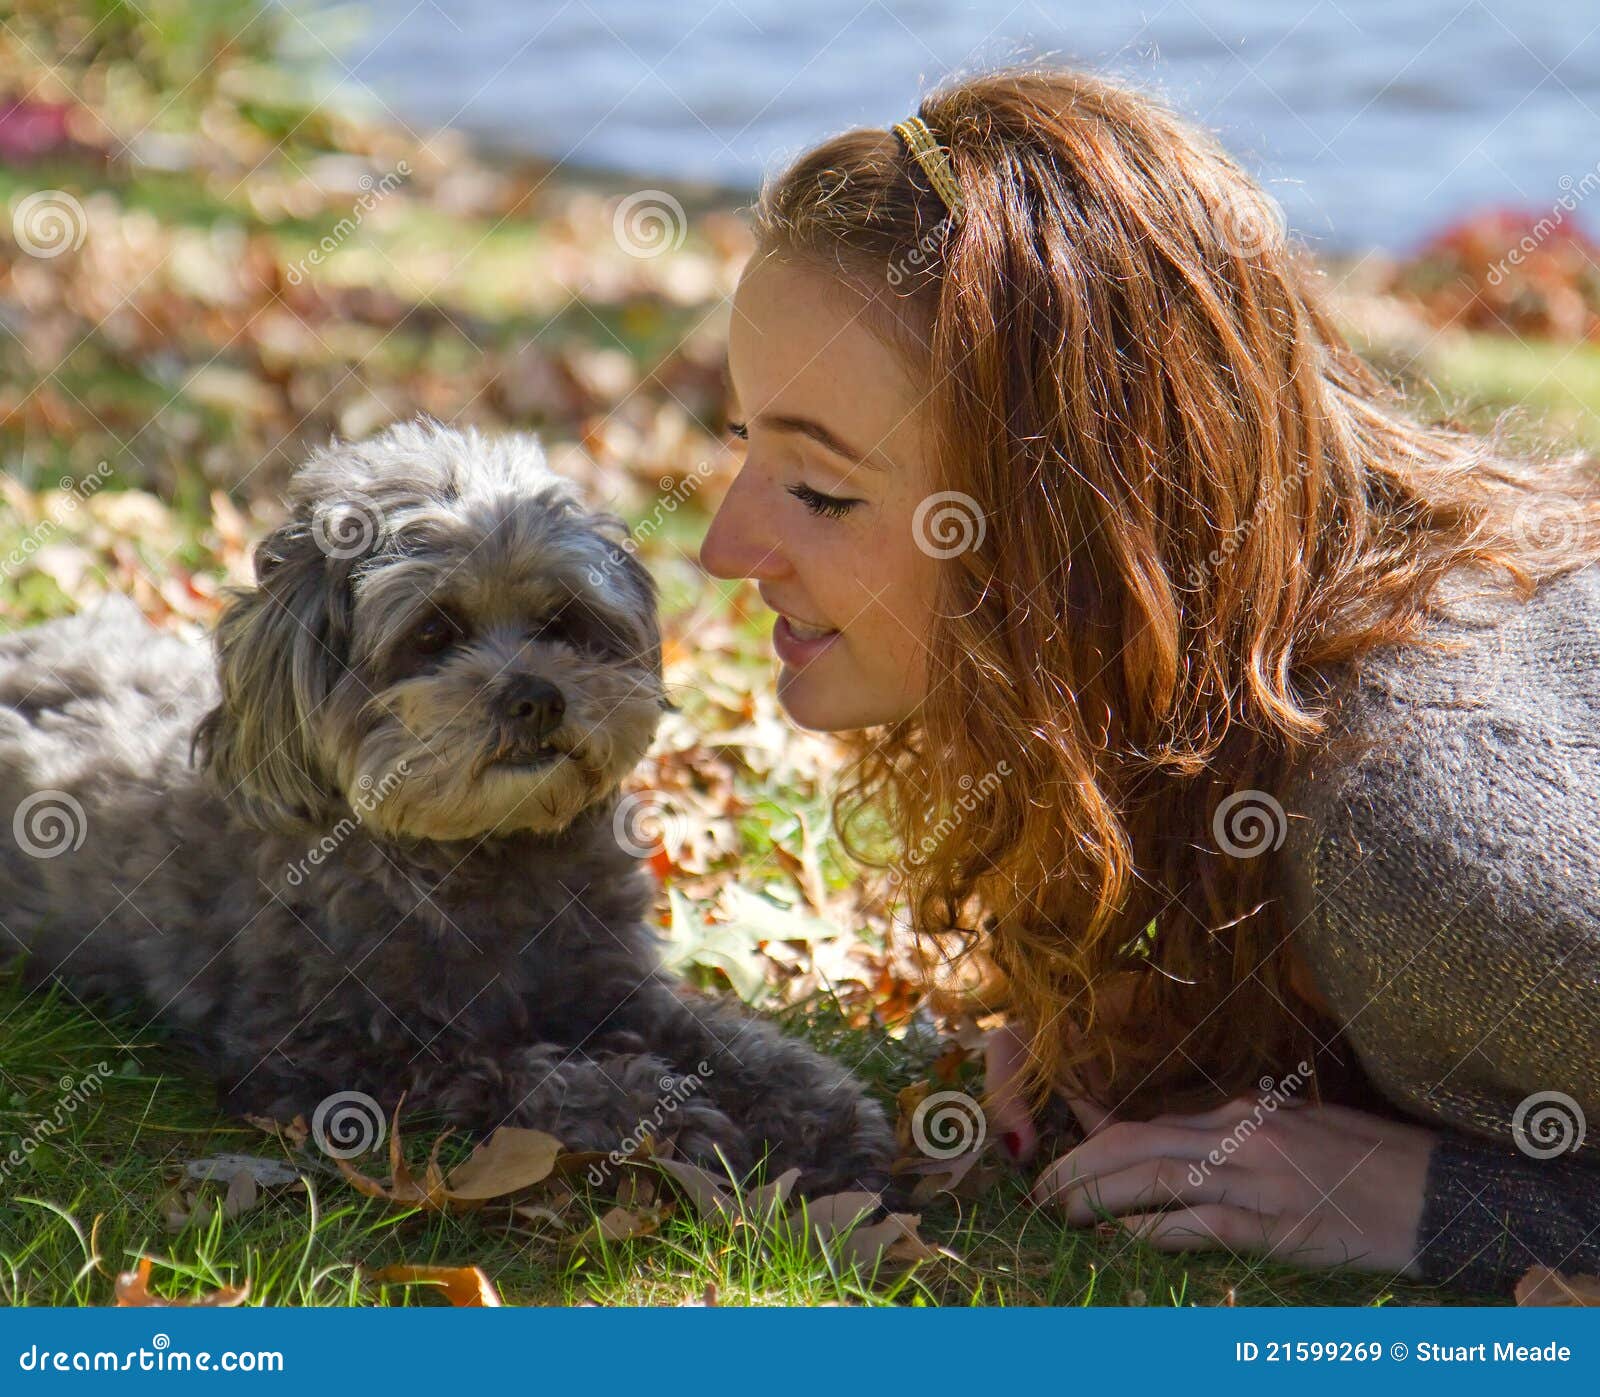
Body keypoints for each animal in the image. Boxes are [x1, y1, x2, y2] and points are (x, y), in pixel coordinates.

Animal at [0, 412, 902, 1190]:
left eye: (562, 620)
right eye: (433, 633)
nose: (536, 696)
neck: (481, 853)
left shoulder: (613, 981)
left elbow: (725, 1035)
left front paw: (817, 1106)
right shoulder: (320, 1054)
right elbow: (517, 1072)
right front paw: (656, 1111)